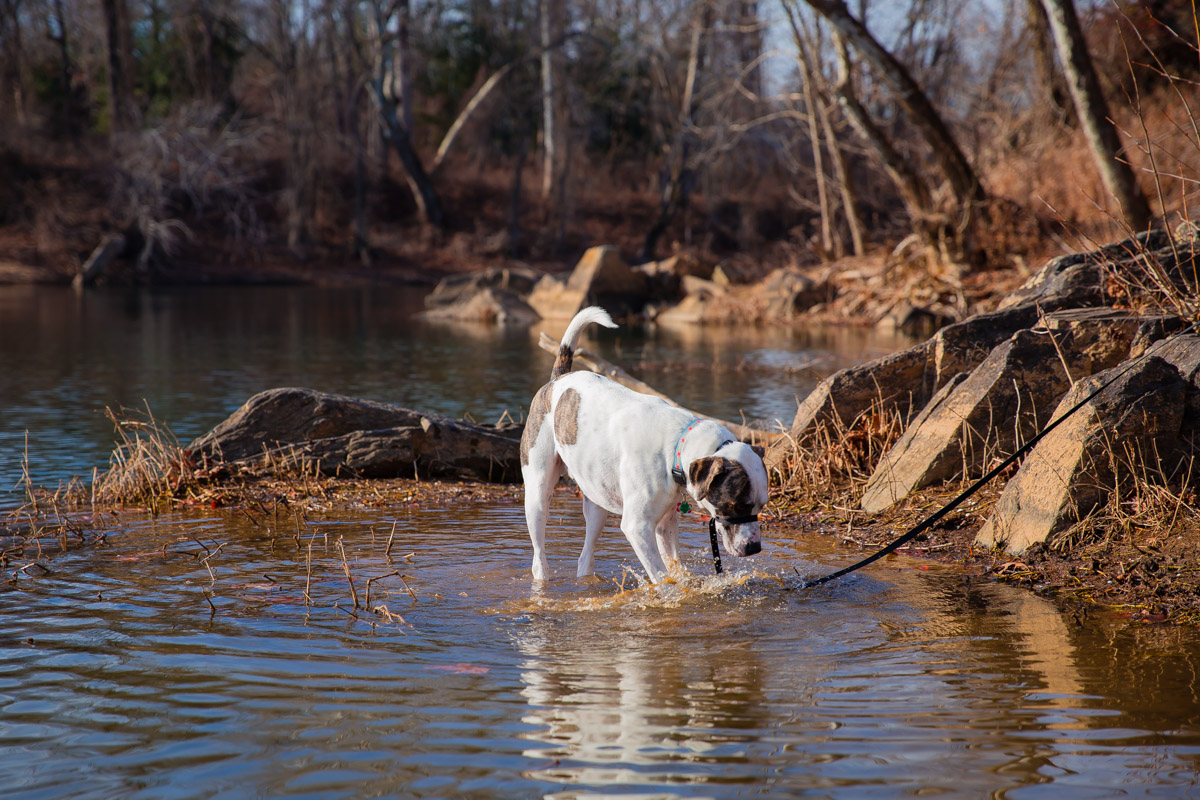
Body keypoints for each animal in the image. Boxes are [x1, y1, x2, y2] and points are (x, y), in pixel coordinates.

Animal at [518, 307, 768, 582]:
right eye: (735, 505)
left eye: (762, 505)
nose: (754, 547)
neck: (678, 447)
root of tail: (558, 380)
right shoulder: (637, 528)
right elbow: (661, 577)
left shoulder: (665, 524)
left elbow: (674, 566)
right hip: (538, 495)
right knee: (539, 554)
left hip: (596, 501)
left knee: (585, 556)